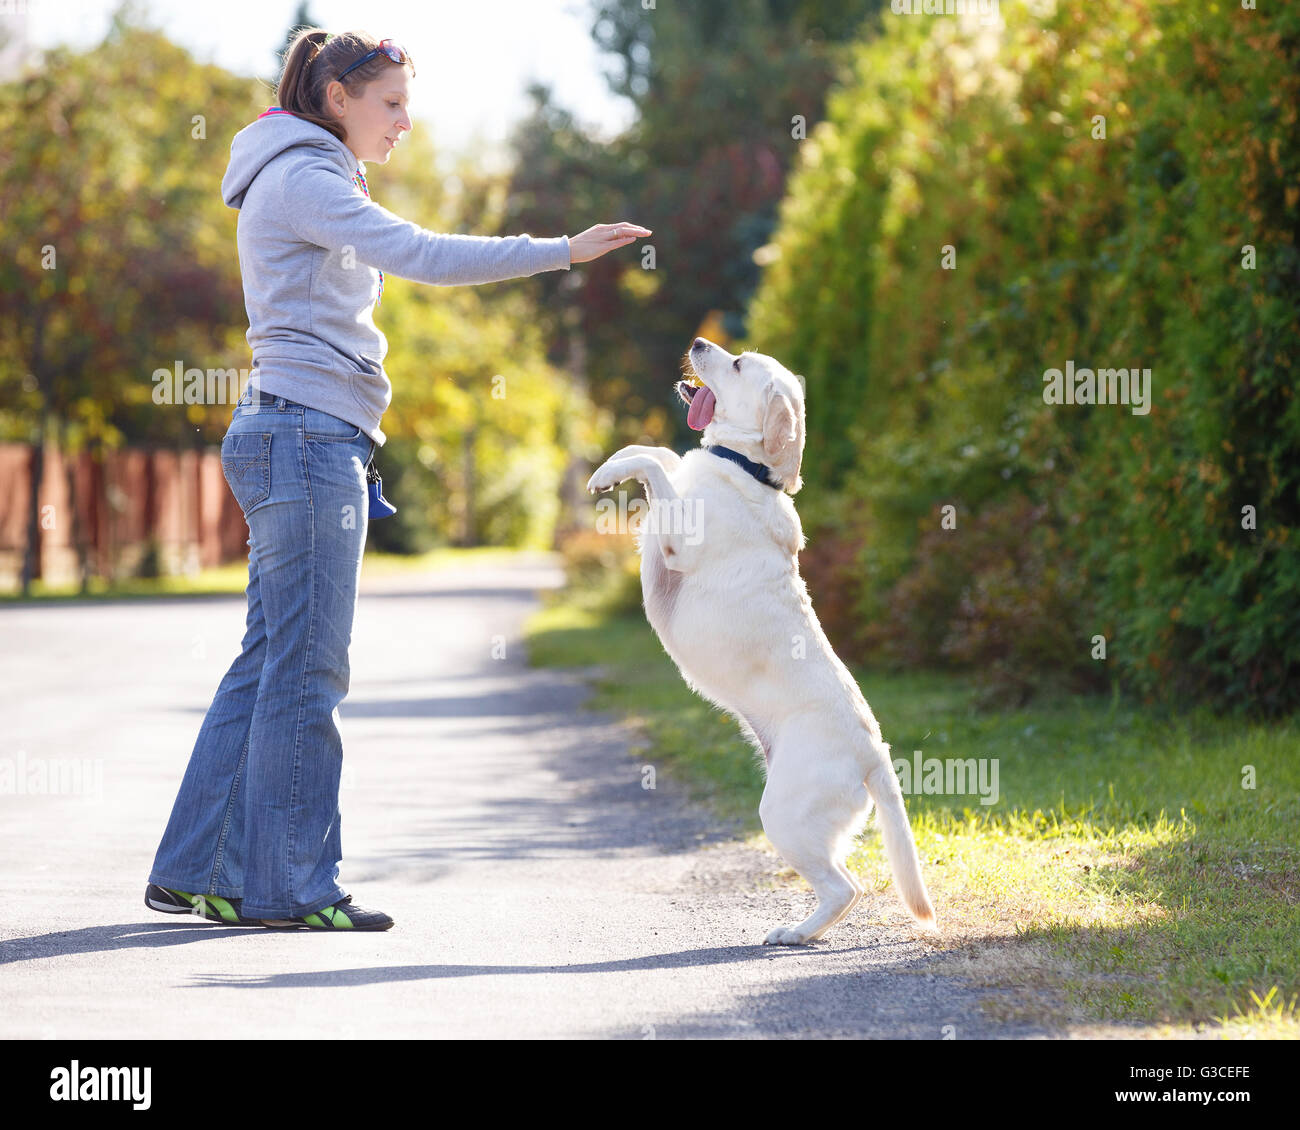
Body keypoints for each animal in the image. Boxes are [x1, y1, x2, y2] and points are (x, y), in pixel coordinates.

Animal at [587, 335, 935, 941]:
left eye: (738, 364)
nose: (698, 341)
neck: (743, 467)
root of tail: (876, 754)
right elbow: (661, 450)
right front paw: (611, 467)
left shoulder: (679, 538)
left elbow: (657, 462)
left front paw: (617, 468)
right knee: (847, 881)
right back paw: (804, 930)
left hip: (784, 815)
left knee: (845, 888)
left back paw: (793, 932)